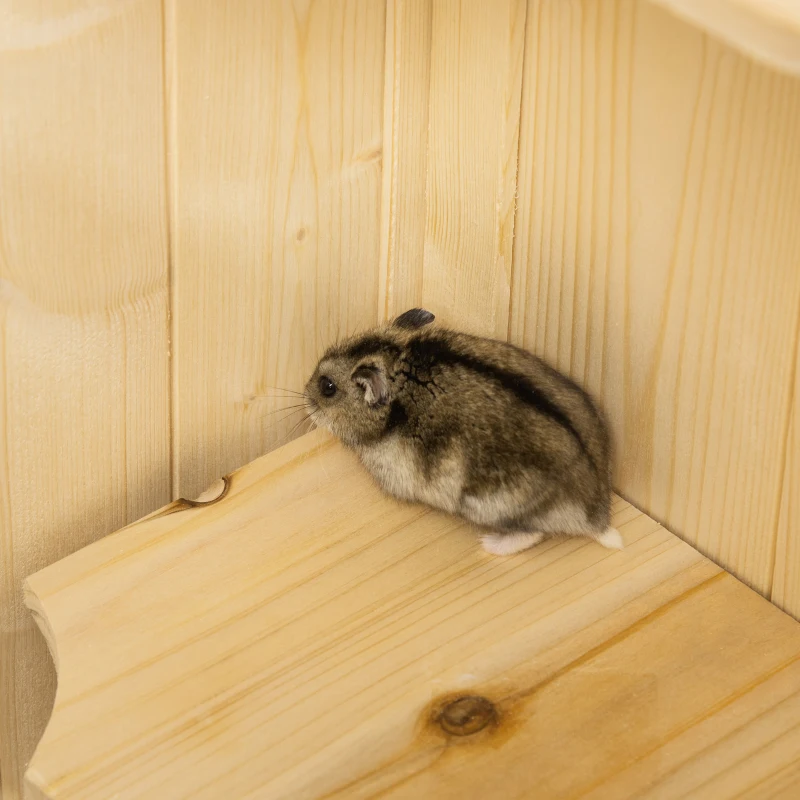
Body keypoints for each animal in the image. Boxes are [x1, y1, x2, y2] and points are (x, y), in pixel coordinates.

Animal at [304, 308, 622, 555]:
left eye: (327, 387)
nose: (304, 397)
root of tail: (598, 516)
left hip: (492, 505)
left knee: (531, 533)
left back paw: (488, 544)